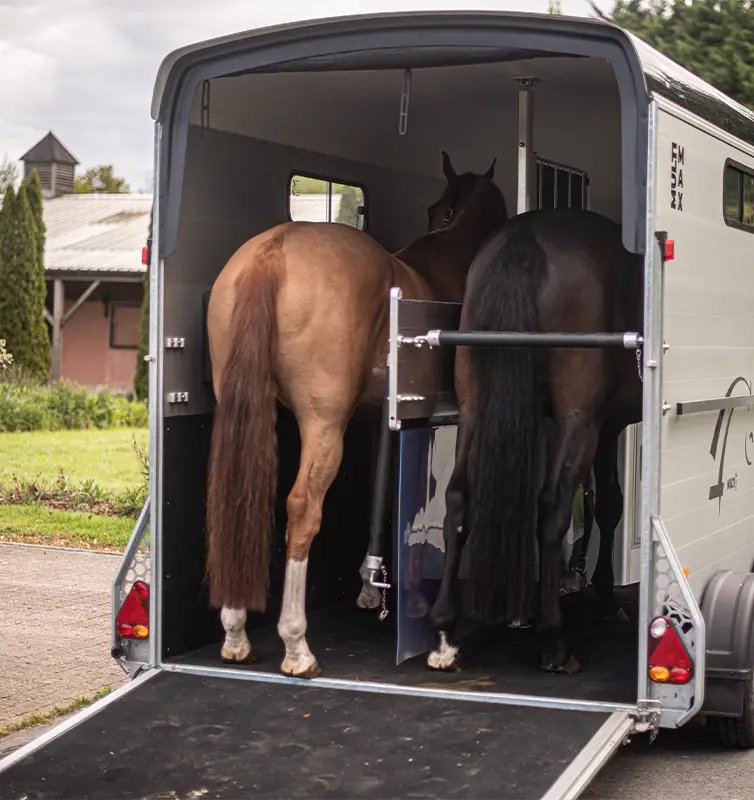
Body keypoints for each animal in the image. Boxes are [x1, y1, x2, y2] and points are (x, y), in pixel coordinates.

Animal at [205, 152, 507, 678]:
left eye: (436, 209)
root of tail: (272, 252)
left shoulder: (372, 424)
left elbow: (375, 495)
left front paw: (370, 586)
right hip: (323, 427)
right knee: (302, 507)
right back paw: (296, 644)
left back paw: (236, 631)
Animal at [426, 208, 642, 674]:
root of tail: (524, 239)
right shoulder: (601, 425)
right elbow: (609, 506)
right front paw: (603, 598)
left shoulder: (606, 427)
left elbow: (607, 503)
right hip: (577, 419)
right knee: (552, 504)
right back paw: (554, 640)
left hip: (474, 408)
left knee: (459, 497)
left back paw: (445, 634)